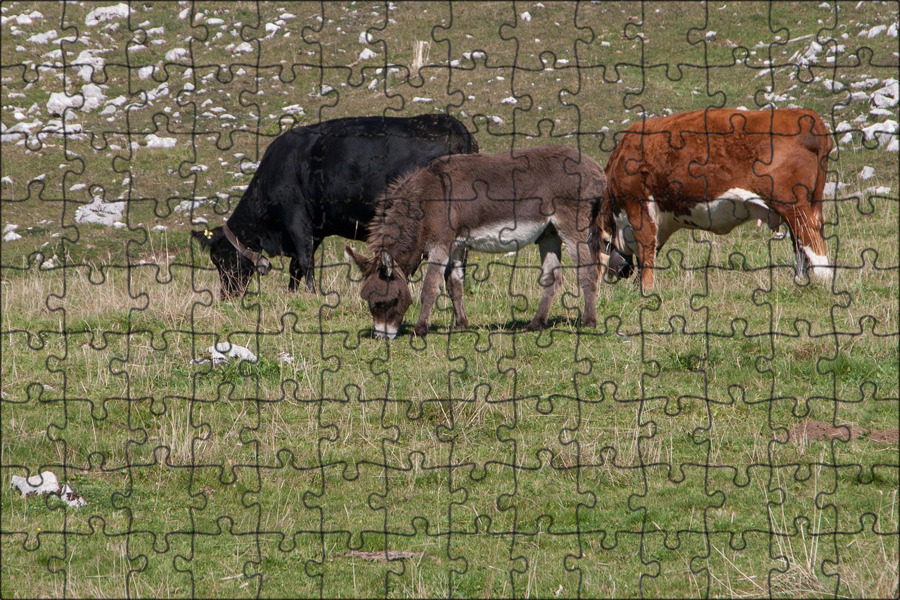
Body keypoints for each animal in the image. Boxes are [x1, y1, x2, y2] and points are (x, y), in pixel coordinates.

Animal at [192, 114, 478, 298]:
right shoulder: (314, 228)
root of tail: (452, 124)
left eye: (221, 259)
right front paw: (293, 293)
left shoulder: (296, 219)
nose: (225, 296)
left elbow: (304, 259)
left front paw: (310, 293)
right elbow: (297, 264)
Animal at [344, 145, 604, 338]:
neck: (423, 203)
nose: (382, 337)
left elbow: (430, 287)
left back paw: (589, 322)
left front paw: (420, 329)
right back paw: (536, 324)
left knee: (587, 271)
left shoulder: (440, 244)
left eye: (391, 300)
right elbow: (454, 286)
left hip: (571, 226)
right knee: (553, 279)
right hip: (549, 234)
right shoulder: (456, 245)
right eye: (368, 301)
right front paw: (461, 324)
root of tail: (594, 166)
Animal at [600, 108, 832, 290]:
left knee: (811, 239)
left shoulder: (638, 204)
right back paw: (800, 280)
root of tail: (805, 114)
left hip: (793, 205)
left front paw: (645, 289)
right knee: (800, 244)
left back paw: (823, 280)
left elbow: (646, 246)